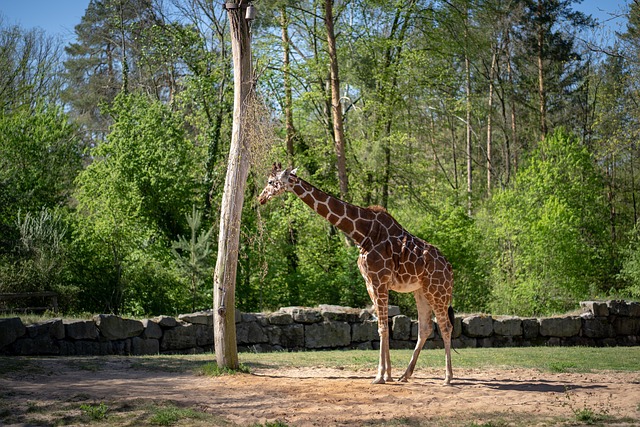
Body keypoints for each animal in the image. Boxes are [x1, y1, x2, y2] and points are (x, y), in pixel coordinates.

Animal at [260, 164, 456, 384]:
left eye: (271, 182)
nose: (260, 198)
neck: (362, 233)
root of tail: (449, 268)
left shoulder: (379, 280)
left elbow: (383, 326)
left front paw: (379, 376)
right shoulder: (370, 283)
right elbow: (382, 326)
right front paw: (388, 374)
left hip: (437, 290)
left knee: (445, 326)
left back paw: (447, 378)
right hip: (420, 291)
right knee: (425, 328)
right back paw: (405, 375)